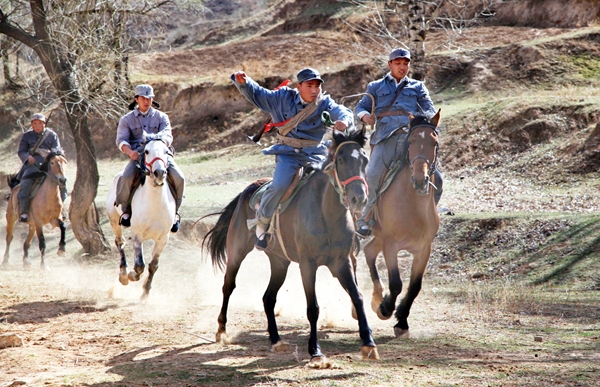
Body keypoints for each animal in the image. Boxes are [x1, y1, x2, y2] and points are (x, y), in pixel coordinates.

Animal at [106, 135, 176, 302]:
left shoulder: (163, 239)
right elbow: (139, 265)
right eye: (146, 151)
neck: (155, 203)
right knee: (120, 243)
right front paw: (132, 276)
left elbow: (153, 265)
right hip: (114, 221)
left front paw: (145, 292)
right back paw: (123, 275)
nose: (159, 173)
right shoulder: (137, 235)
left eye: (166, 151)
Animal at [204, 129, 378, 366]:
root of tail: (249, 189)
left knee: (268, 297)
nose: (358, 198)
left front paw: (368, 343)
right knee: (228, 286)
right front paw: (315, 350)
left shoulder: (341, 263)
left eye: (365, 160)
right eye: (341, 160)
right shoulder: (307, 265)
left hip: (280, 262)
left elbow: (357, 297)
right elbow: (313, 308)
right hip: (236, 252)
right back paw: (222, 330)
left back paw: (276, 340)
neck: (326, 212)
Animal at [364, 110, 442, 338]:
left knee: (368, 252)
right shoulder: (391, 245)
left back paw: (376, 297)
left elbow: (415, 286)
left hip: (378, 237)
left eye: (434, 143)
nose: (420, 179)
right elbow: (396, 283)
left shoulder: (424, 249)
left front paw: (401, 321)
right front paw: (386, 309)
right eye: (412, 141)